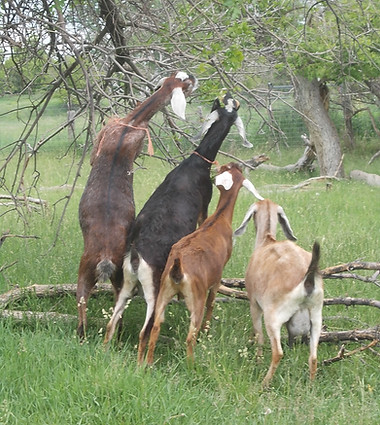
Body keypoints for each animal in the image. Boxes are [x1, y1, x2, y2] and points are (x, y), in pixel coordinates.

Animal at [76, 71, 197, 340]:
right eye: (182, 78)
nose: (195, 78)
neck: (131, 122)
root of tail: (105, 258)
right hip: (118, 275)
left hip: (88, 269)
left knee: (83, 301)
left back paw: (84, 335)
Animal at [144, 162, 262, 364]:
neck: (218, 218)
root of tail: (178, 269)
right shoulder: (217, 277)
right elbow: (212, 302)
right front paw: (207, 330)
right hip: (195, 299)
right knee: (190, 335)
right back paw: (191, 364)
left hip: (163, 293)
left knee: (155, 327)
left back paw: (146, 364)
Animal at [235, 197, 324, 386]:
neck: (267, 241)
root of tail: (308, 280)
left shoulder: (254, 303)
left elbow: (259, 336)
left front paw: (258, 360)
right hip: (316, 317)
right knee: (313, 356)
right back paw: (311, 385)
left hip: (273, 317)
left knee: (277, 352)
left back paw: (264, 383)